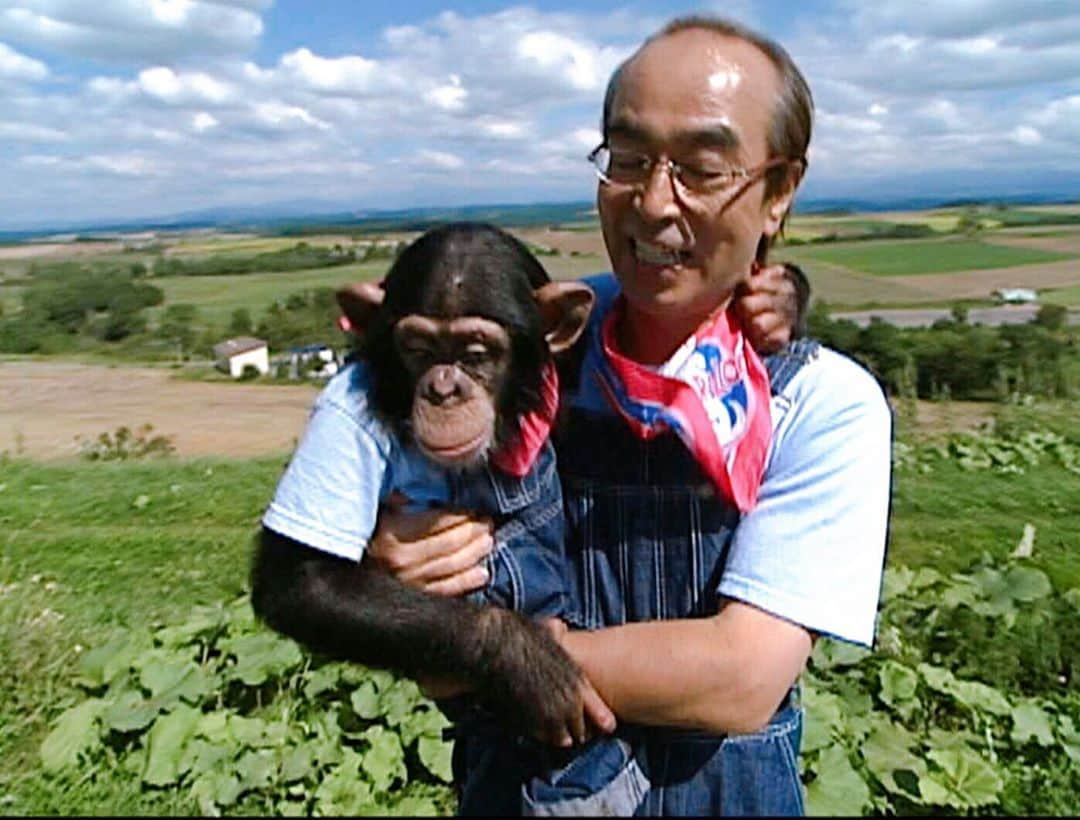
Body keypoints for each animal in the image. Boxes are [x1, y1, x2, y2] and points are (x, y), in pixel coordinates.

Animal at [250, 221, 648, 816]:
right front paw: (524, 658)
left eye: (476, 352)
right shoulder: (346, 413)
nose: (443, 388)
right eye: (417, 348)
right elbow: (299, 580)